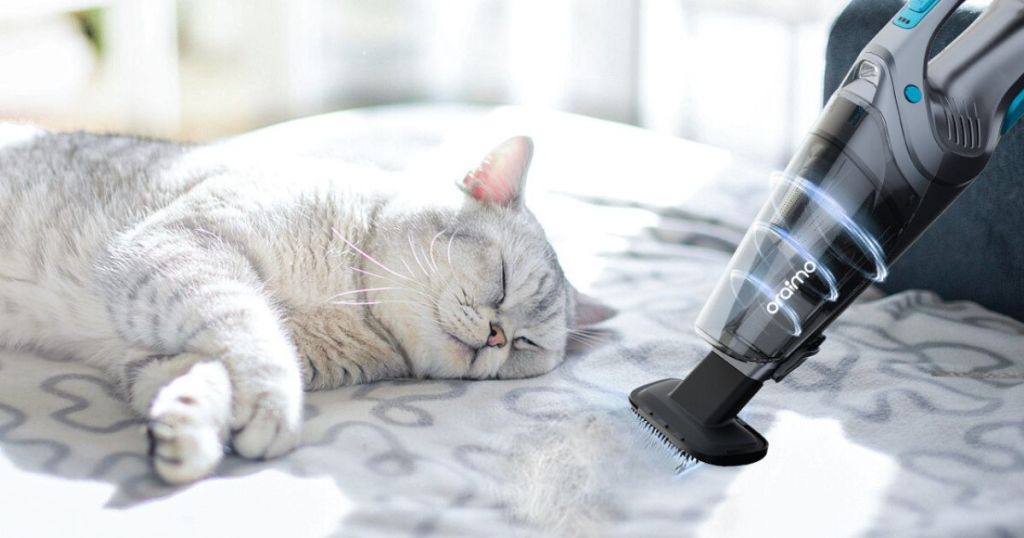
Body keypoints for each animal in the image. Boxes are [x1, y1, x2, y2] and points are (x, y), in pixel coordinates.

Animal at [0, 126, 614, 481]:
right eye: (504, 281)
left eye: (526, 345)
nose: (497, 336)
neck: (351, 300)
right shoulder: (186, 248)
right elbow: (253, 333)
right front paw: (273, 411)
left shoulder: (152, 352)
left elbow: (207, 374)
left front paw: (188, 433)